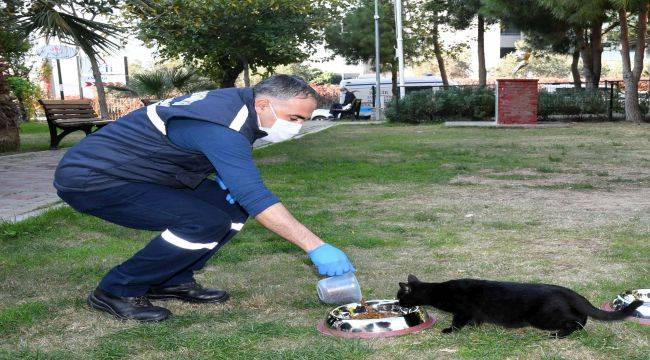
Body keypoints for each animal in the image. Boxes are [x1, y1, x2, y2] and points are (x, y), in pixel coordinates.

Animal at [392, 276, 640, 338]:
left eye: (400, 297)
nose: (397, 303)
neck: (439, 291)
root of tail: (565, 290)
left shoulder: (463, 311)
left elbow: (457, 322)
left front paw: (449, 331)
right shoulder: (474, 312)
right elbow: (476, 320)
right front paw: (475, 327)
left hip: (544, 318)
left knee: (577, 322)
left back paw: (558, 335)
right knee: (582, 318)